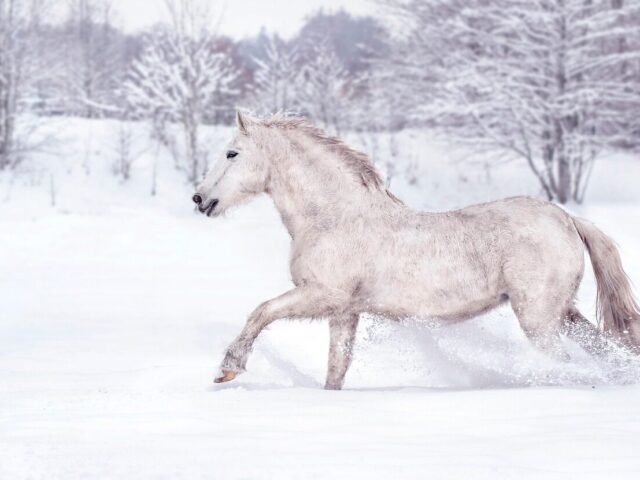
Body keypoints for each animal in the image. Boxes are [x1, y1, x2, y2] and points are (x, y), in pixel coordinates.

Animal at [192, 112, 640, 390]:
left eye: (232, 153)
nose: (200, 199)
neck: (334, 216)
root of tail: (566, 218)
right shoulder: (344, 312)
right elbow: (336, 369)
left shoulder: (321, 295)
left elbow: (261, 312)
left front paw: (228, 369)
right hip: (563, 313)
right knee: (602, 347)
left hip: (539, 319)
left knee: (562, 363)